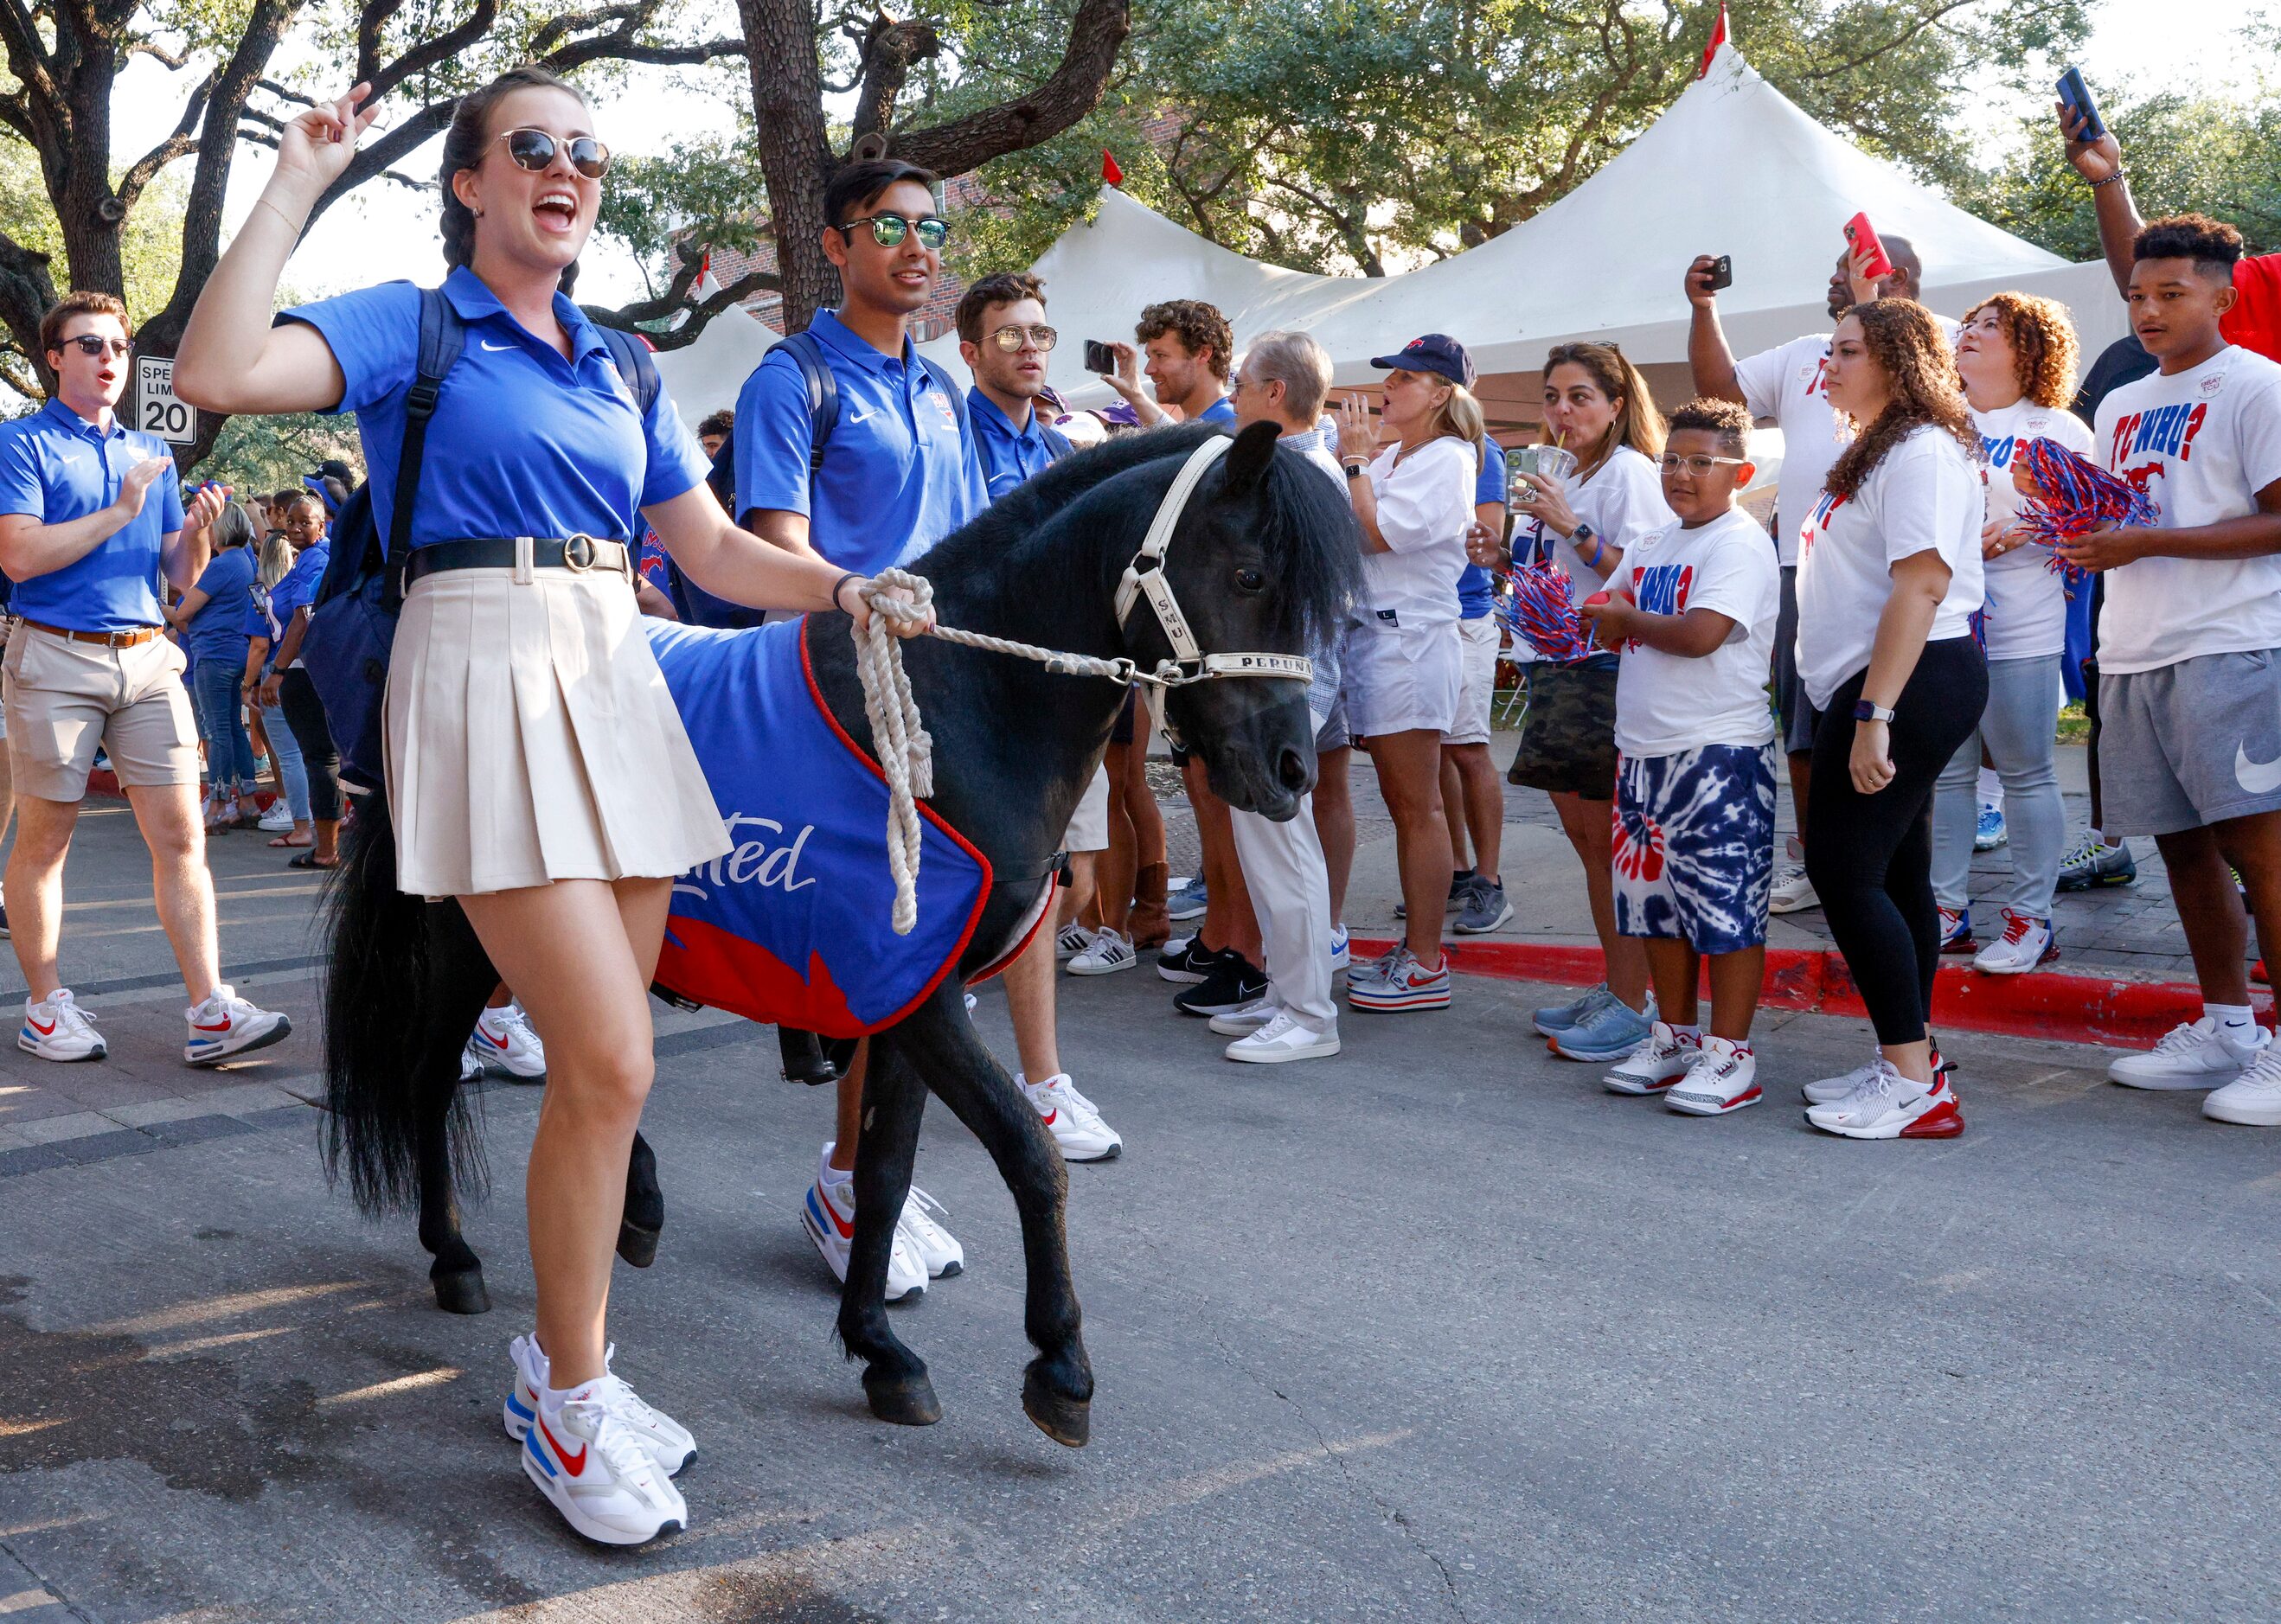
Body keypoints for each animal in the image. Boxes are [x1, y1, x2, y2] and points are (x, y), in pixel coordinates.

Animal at [319, 421, 1350, 1450]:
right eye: (1251, 575)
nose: (1290, 769)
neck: (959, 710)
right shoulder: (923, 999)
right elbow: (1030, 1154)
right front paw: (1060, 1364)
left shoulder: (908, 991)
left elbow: (888, 1171)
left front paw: (879, 1348)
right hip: (474, 941)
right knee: (434, 1075)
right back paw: (453, 1253)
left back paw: (634, 1198)